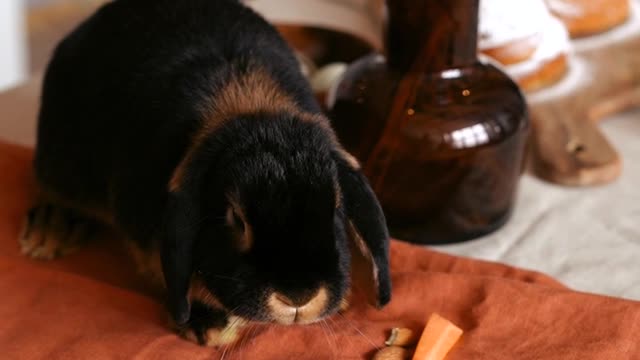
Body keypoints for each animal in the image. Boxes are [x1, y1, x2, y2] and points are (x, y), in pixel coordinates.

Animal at [18, 0, 390, 346]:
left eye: (336, 209)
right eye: (236, 219)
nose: (298, 296)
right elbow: (162, 268)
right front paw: (206, 326)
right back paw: (50, 232)